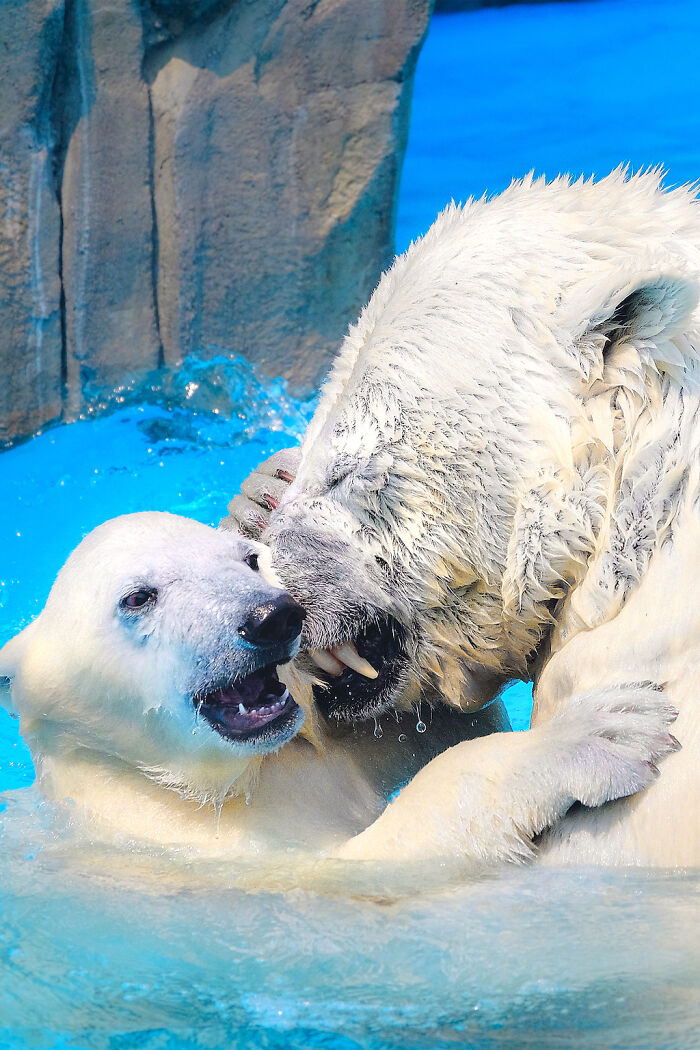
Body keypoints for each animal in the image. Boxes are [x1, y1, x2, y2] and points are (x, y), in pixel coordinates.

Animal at [0, 512, 680, 881]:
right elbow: (379, 860)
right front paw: (602, 728)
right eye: (138, 597)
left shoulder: (314, 759)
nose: (272, 617)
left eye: (249, 560)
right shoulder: (209, 855)